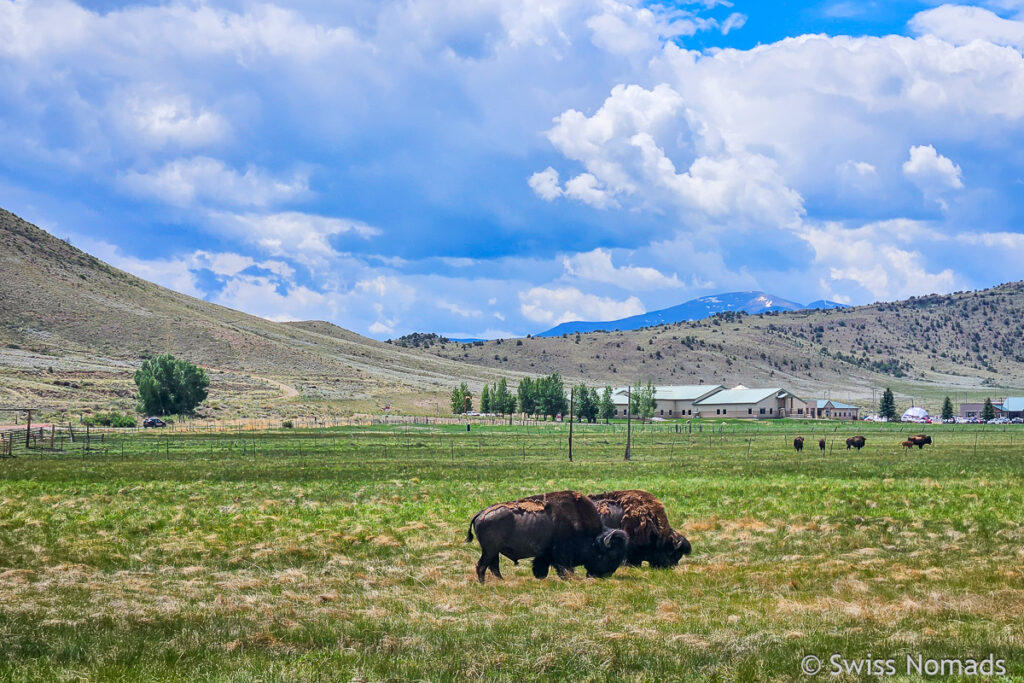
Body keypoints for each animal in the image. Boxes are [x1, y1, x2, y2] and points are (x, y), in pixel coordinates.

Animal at [468, 489, 626, 585]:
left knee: (493, 567)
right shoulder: (561, 556)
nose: (606, 575)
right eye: (611, 555)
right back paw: (483, 584)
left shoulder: (544, 556)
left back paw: (501, 581)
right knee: (482, 566)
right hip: (490, 551)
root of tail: (481, 514)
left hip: (493, 552)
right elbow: (564, 569)